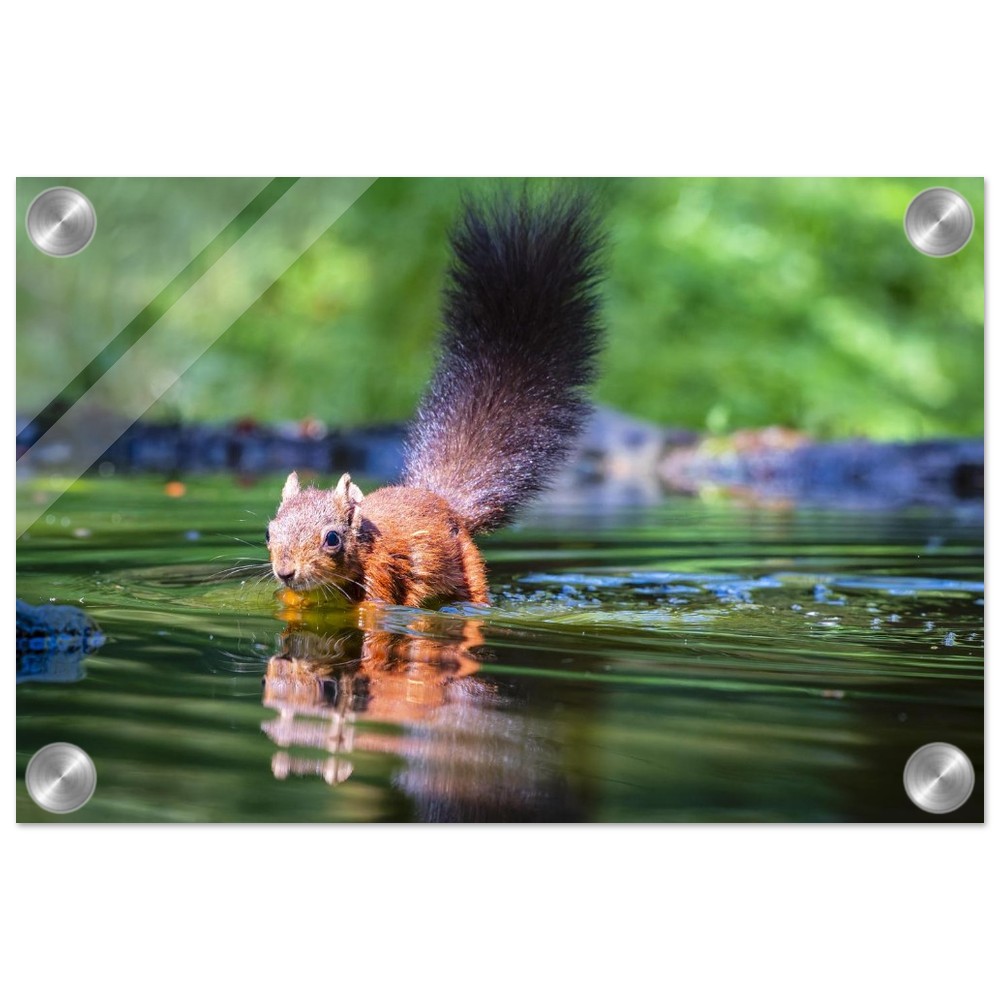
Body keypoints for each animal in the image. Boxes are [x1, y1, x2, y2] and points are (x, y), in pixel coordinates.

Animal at [266, 191, 605, 607]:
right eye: (268, 532)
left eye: (332, 539)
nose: (286, 572)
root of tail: (442, 500)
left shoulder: (382, 574)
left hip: (469, 564)